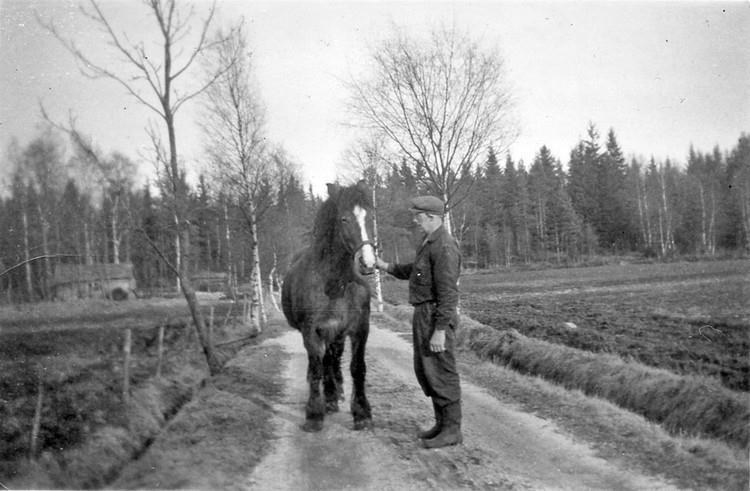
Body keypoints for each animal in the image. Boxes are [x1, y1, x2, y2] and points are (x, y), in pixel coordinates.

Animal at [282, 183, 378, 432]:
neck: (335, 284)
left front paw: (362, 413)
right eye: (344, 219)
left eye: (369, 216)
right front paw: (314, 415)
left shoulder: (359, 329)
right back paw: (329, 397)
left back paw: (336, 394)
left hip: (337, 334)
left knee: (333, 359)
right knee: (323, 362)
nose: (367, 263)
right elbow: (317, 368)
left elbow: (357, 368)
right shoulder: (312, 331)